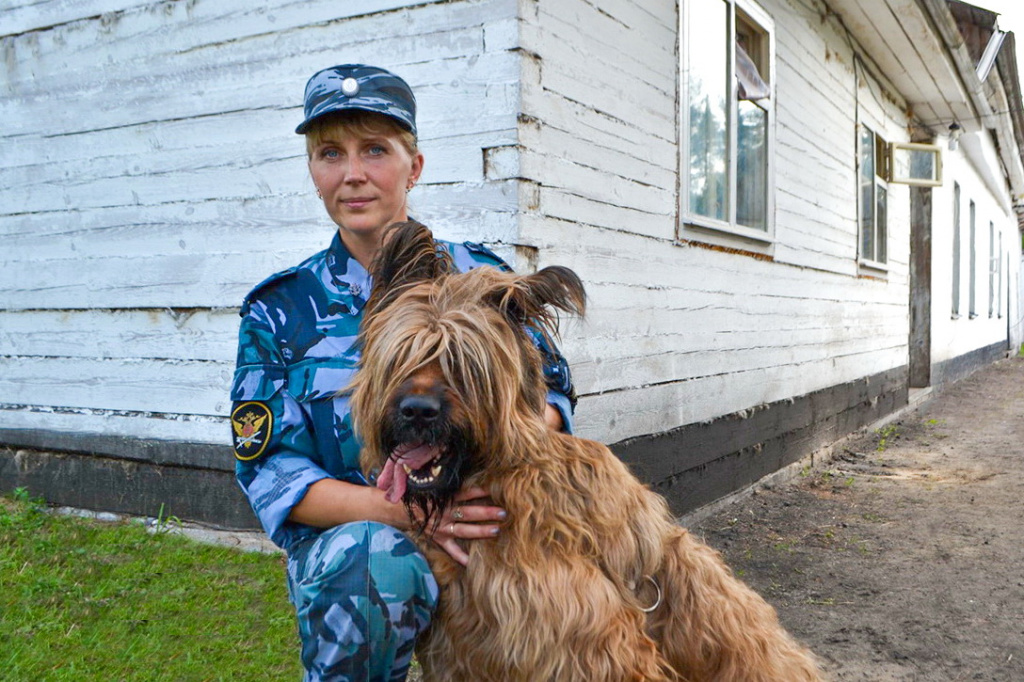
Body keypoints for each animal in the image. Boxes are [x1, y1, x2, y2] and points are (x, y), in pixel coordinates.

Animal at [352, 220, 823, 675]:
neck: (500, 479)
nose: (417, 412)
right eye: (403, 354)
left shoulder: (593, 643)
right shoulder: (462, 650)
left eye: (465, 363)